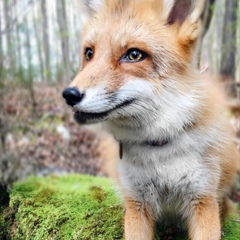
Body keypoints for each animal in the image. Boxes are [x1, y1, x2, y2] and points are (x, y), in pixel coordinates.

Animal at [62, 0, 240, 239]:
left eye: (134, 55)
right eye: (89, 53)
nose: (69, 95)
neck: (158, 146)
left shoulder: (203, 199)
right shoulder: (137, 203)